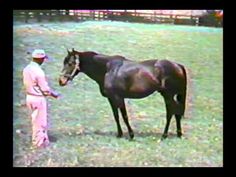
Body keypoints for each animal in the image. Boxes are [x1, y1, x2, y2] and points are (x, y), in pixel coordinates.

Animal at [58, 48, 186, 140]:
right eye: (64, 62)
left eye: (70, 63)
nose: (61, 81)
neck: (108, 69)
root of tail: (178, 65)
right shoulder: (111, 98)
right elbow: (116, 116)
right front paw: (119, 134)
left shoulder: (119, 98)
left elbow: (124, 116)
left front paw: (131, 135)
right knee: (176, 112)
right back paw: (178, 134)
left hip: (168, 95)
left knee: (171, 112)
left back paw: (165, 135)